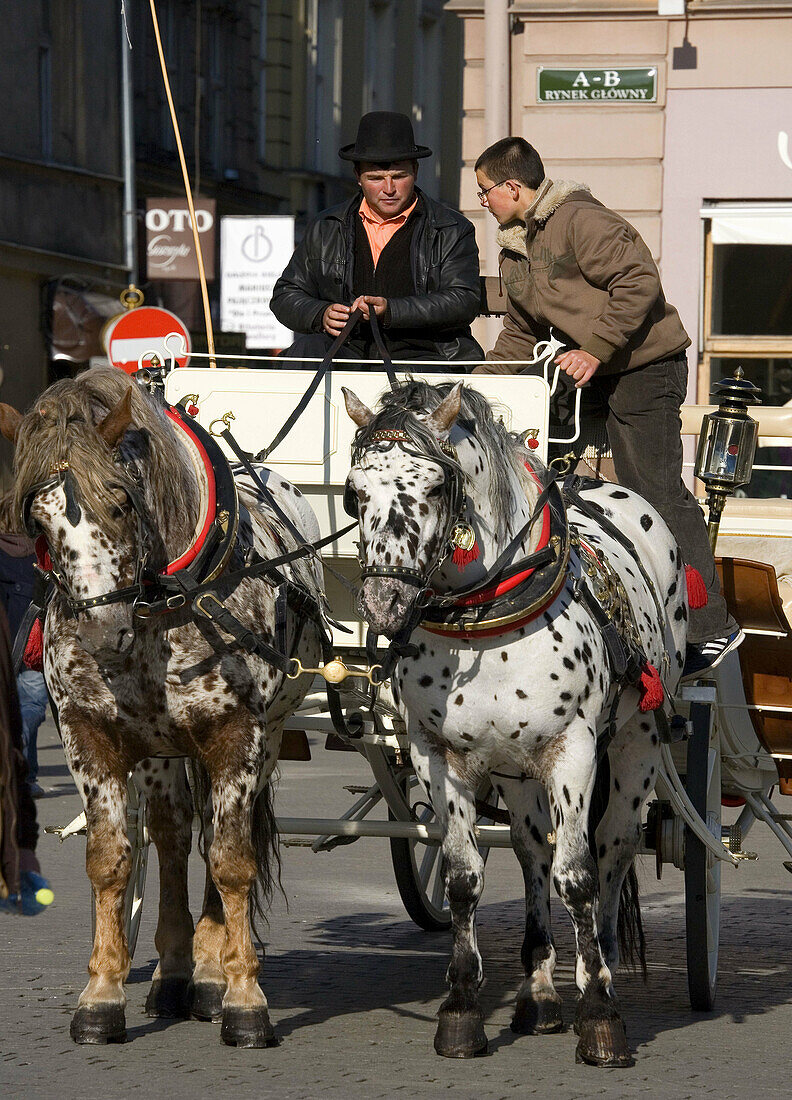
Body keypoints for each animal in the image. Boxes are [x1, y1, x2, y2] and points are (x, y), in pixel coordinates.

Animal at [0, 367, 327, 1047]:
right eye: (37, 523)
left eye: (122, 501)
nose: (103, 636)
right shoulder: (89, 735)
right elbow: (111, 860)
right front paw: (101, 994)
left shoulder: (236, 734)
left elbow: (231, 860)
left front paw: (243, 996)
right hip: (158, 749)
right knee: (174, 833)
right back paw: (177, 973)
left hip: (265, 734)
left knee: (212, 837)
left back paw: (209, 973)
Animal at [343, 380, 695, 1064]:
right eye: (353, 491)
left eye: (435, 488)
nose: (382, 603)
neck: (488, 622)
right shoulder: (439, 755)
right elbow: (463, 877)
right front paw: (461, 1010)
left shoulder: (573, 752)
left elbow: (578, 878)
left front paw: (600, 1014)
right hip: (517, 771)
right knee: (533, 850)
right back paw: (539, 992)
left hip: (636, 744)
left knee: (612, 848)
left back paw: (599, 966)